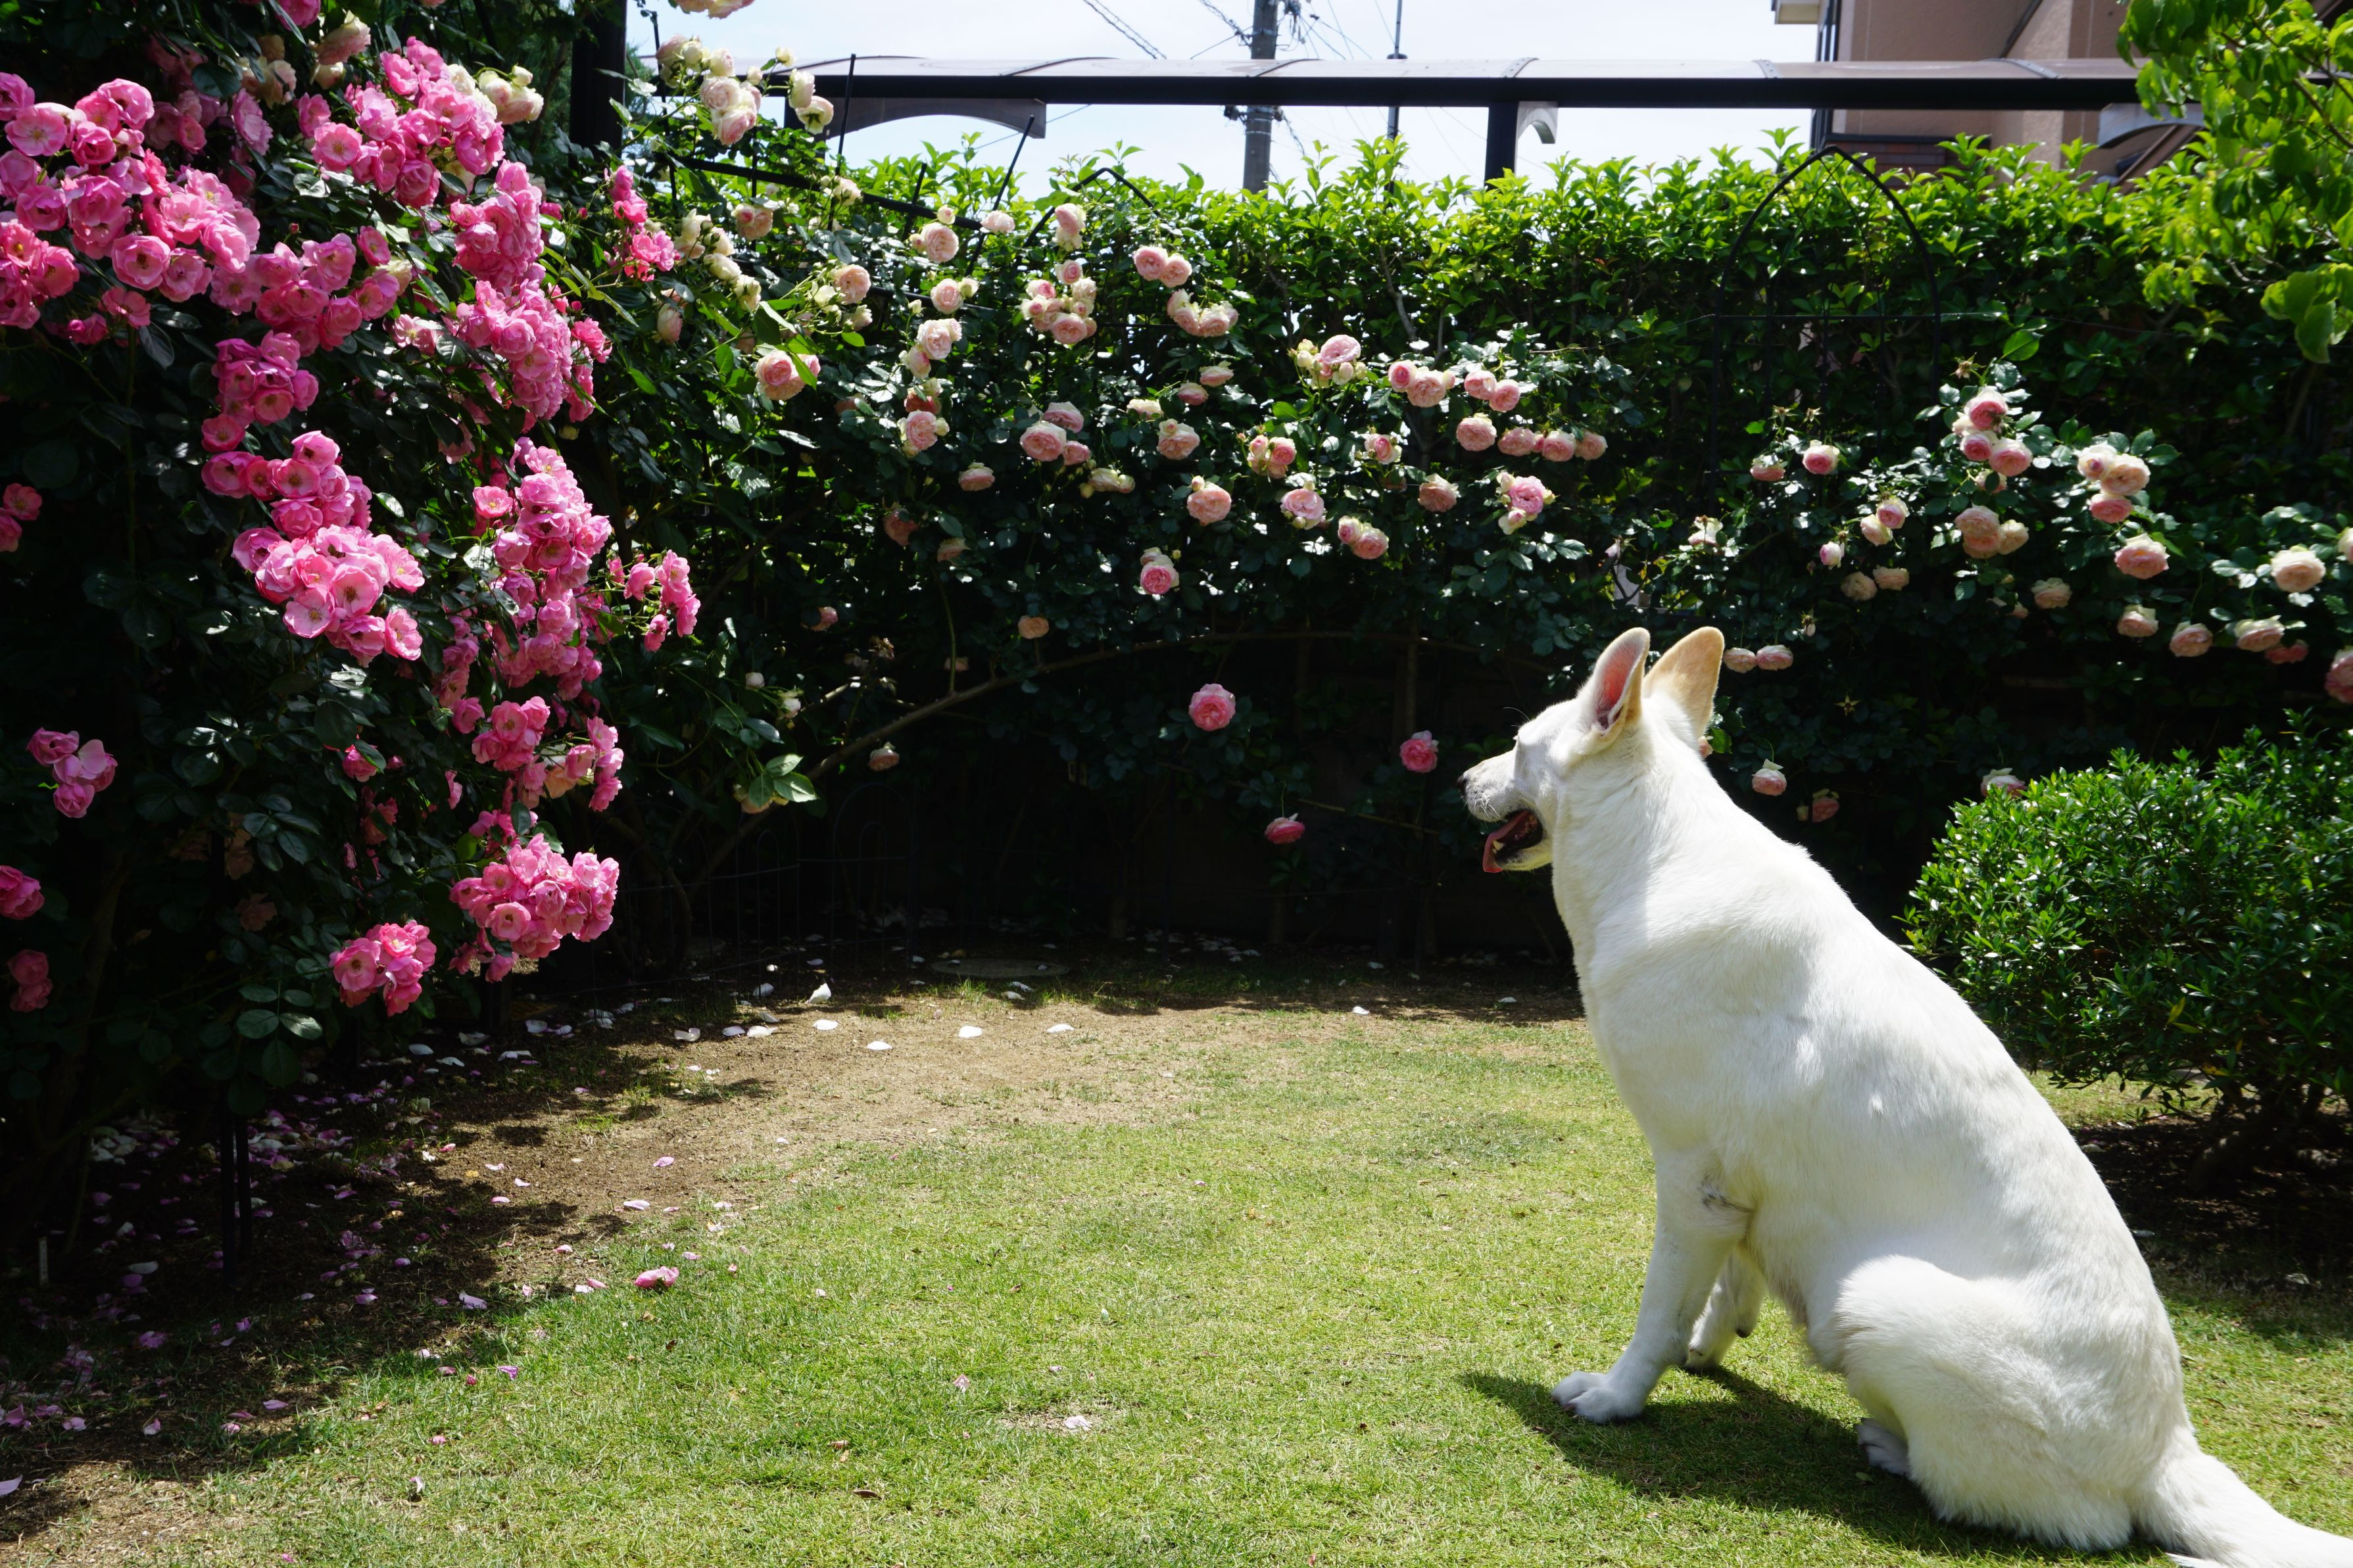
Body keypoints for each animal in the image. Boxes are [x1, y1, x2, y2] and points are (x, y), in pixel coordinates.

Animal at [1462, 625, 2352, 1568]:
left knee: (2053, 1515)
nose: (1458, 781)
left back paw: (1897, 1451)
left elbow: (1658, 1314)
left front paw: (1619, 1396)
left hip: (1872, 1298)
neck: (1654, 851)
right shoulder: (1736, 1192)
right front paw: (1711, 1345)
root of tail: (2164, 1455)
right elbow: (1729, 1280)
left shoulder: (1690, 1180)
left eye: (1516, 744)